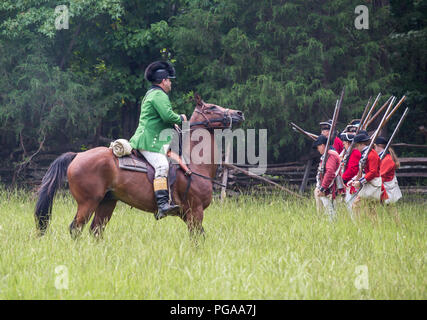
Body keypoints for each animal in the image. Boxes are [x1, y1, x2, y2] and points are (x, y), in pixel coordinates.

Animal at [35, 94, 246, 238]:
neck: (193, 164)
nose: (239, 113)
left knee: (96, 231)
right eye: (212, 107)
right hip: (88, 203)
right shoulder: (195, 211)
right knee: (76, 229)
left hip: (107, 202)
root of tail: (77, 155)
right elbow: (198, 238)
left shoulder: (188, 215)